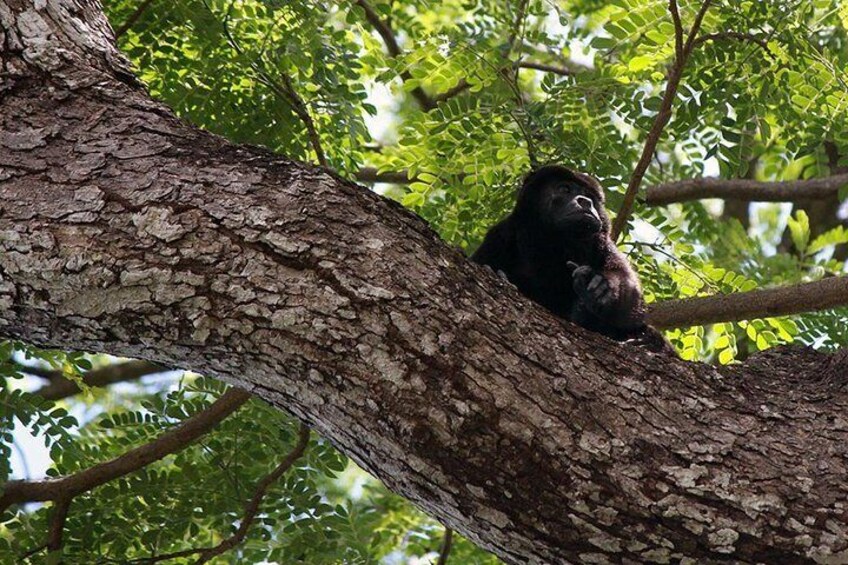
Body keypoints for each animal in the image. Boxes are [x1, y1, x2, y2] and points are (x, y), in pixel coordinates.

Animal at [470, 163, 668, 352]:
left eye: (588, 195)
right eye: (565, 189)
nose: (586, 201)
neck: (557, 244)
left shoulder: (605, 247)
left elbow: (631, 304)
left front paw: (600, 287)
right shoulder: (501, 236)